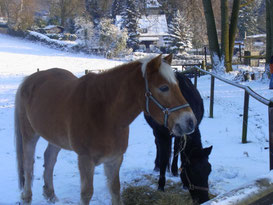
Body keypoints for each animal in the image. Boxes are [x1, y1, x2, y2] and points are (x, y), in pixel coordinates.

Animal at [14, 53, 196, 204]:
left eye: (178, 85)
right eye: (164, 87)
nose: (190, 122)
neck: (105, 114)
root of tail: (30, 79)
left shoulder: (114, 159)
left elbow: (115, 191)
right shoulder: (85, 160)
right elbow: (87, 194)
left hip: (55, 137)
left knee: (49, 158)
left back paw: (50, 194)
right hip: (29, 134)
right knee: (28, 164)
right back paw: (27, 197)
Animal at [143, 71, 211, 203]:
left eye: (209, 170)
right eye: (193, 172)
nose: (205, 200)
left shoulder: (182, 135)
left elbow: (177, 151)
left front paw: (177, 173)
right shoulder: (162, 134)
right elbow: (164, 158)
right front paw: (161, 186)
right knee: (157, 145)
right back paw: (156, 165)